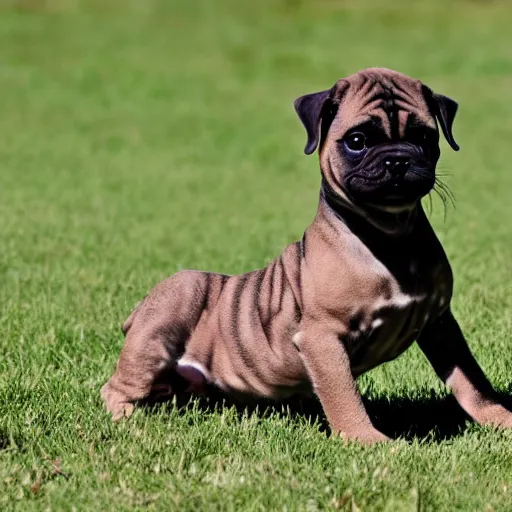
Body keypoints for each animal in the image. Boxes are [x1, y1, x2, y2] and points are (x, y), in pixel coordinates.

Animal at [101, 69, 512, 444]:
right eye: (357, 141)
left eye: (424, 137)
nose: (398, 160)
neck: (389, 236)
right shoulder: (322, 337)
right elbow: (344, 395)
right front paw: (367, 440)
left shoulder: (441, 323)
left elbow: (471, 380)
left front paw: (499, 418)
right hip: (170, 311)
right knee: (116, 387)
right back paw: (131, 423)